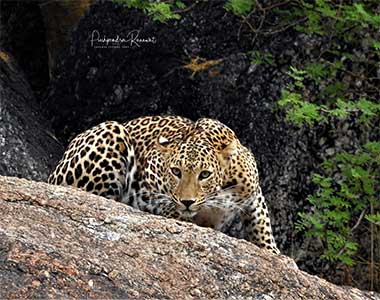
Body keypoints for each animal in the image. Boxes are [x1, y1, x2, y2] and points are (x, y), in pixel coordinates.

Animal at [46, 116, 280, 254]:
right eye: (176, 172)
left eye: (205, 174)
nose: (187, 202)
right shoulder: (153, 186)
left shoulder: (254, 192)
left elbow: (262, 225)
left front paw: (272, 252)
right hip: (111, 132)